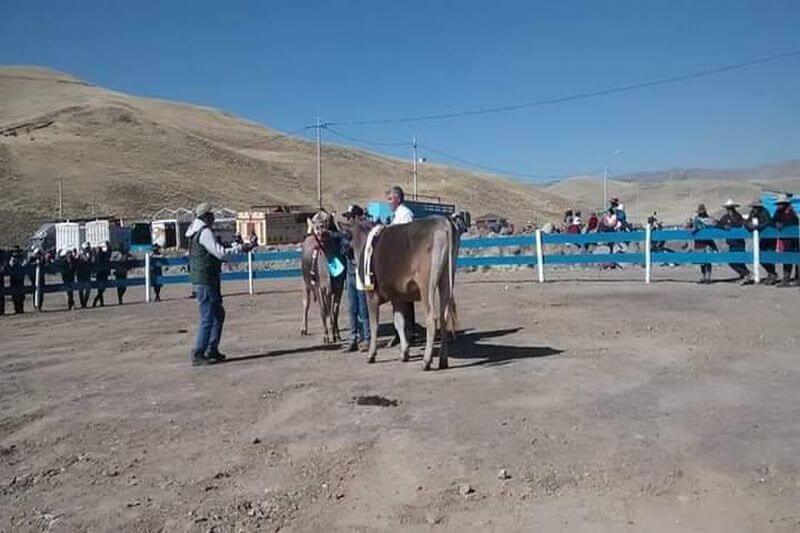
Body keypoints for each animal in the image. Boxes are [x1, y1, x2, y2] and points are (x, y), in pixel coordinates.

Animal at [352, 214, 462, 368]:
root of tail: (444, 222)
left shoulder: (371, 295)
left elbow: (374, 324)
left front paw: (371, 354)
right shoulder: (397, 296)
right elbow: (399, 323)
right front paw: (404, 353)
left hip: (426, 284)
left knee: (432, 317)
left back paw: (426, 361)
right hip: (446, 279)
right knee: (443, 316)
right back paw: (443, 360)